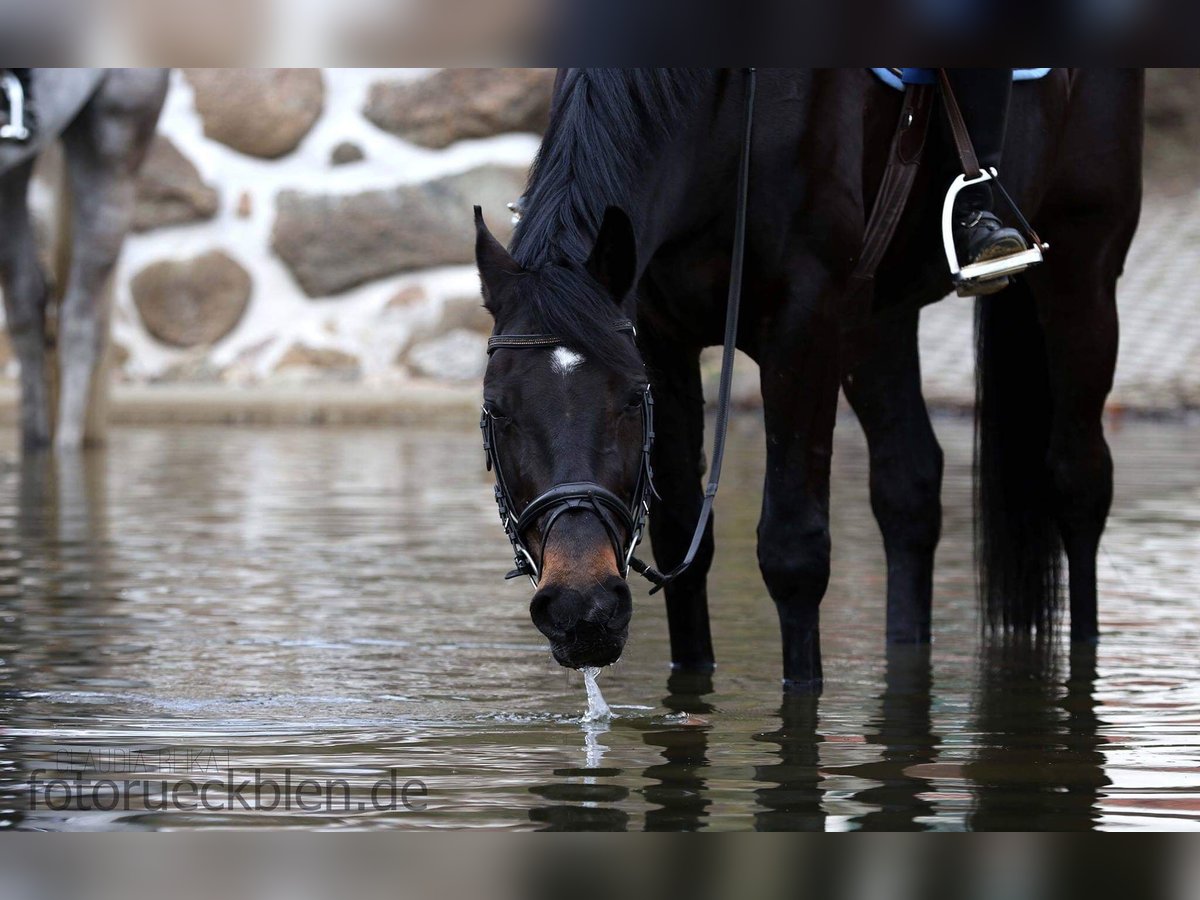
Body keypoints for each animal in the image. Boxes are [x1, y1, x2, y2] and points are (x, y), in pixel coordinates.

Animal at [0, 68, 168, 452]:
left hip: (113, 140)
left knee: (79, 320)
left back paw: (66, 444)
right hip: (19, 163)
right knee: (26, 305)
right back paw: (35, 440)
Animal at [475, 69, 1143, 689]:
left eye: (627, 402)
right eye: (498, 410)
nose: (581, 609)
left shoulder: (805, 325)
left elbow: (793, 551)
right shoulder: (662, 337)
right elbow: (684, 539)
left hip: (1084, 269)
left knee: (1078, 482)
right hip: (878, 324)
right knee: (909, 490)